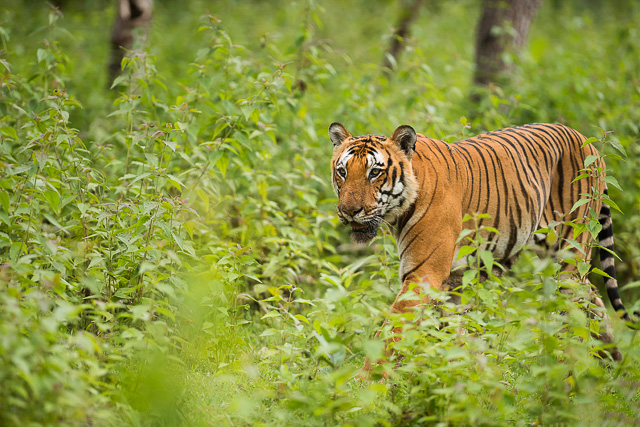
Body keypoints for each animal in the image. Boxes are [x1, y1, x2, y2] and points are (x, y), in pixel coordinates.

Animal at [330, 122, 632, 362]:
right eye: (342, 172)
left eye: (374, 172)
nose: (348, 211)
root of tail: (590, 143)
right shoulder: (452, 282)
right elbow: (448, 337)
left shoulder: (423, 274)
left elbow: (391, 333)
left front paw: (364, 386)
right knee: (592, 296)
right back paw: (611, 361)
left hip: (569, 255)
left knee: (577, 309)